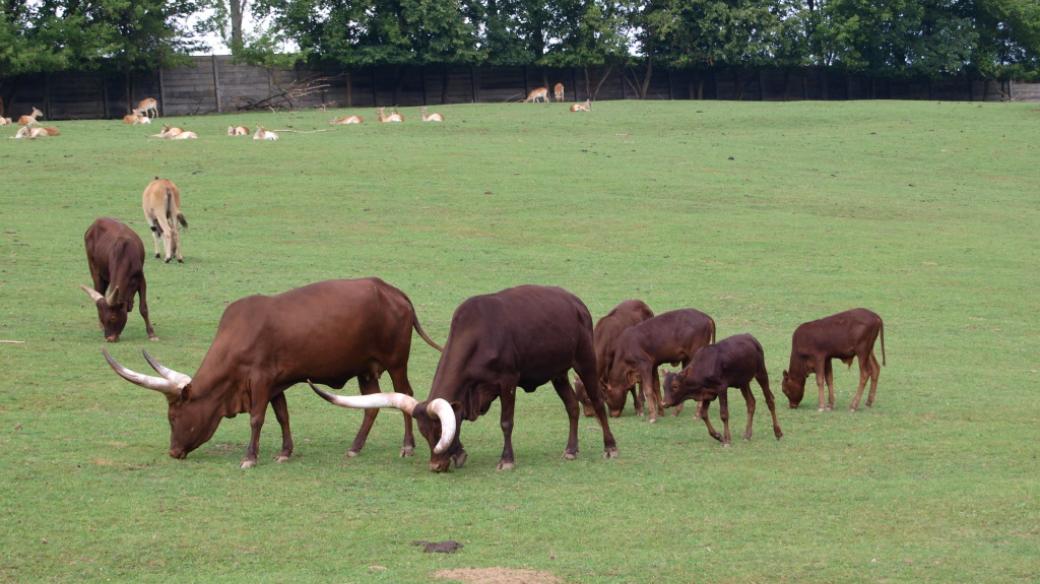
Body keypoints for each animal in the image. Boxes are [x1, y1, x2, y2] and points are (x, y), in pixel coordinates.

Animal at [101, 278, 447, 467]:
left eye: (173, 417)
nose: (173, 452)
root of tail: (392, 291)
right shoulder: (275, 383)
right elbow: (282, 415)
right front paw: (285, 452)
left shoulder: (260, 380)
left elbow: (257, 418)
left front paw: (250, 457)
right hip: (365, 369)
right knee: (372, 405)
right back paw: (355, 447)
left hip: (396, 362)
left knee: (405, 396)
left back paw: (407, 446)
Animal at [307, 284, 615, 469]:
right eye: (426, 433)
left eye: (438, 433)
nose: (436, 466)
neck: (479, 333)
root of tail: (574, 301)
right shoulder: (467, 395)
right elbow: (461, 417)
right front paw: (460, 454)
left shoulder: (508, 381)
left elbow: (506, 422)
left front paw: (506, 460)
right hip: (558, 372)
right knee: (572, 406)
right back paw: (571, 449)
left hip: (585, 361)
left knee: (598, 403)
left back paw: (610, 447)